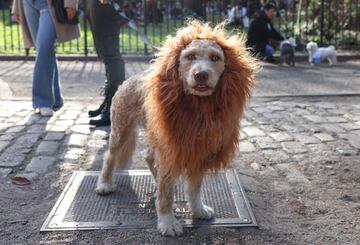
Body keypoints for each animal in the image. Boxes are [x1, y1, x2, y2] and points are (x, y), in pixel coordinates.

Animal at [94, 20, 258, 235]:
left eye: (215, 58)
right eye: (190, 57)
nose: (201, 75)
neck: (197, 107)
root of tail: (127, 80)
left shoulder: (198, 151)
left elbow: (194, 187)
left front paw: (198, 209)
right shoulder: (171, 147)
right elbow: (166, 195)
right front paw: (167, 222)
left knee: (149, 158)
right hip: (121, 129)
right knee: (110, 157)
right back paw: (105, 183)